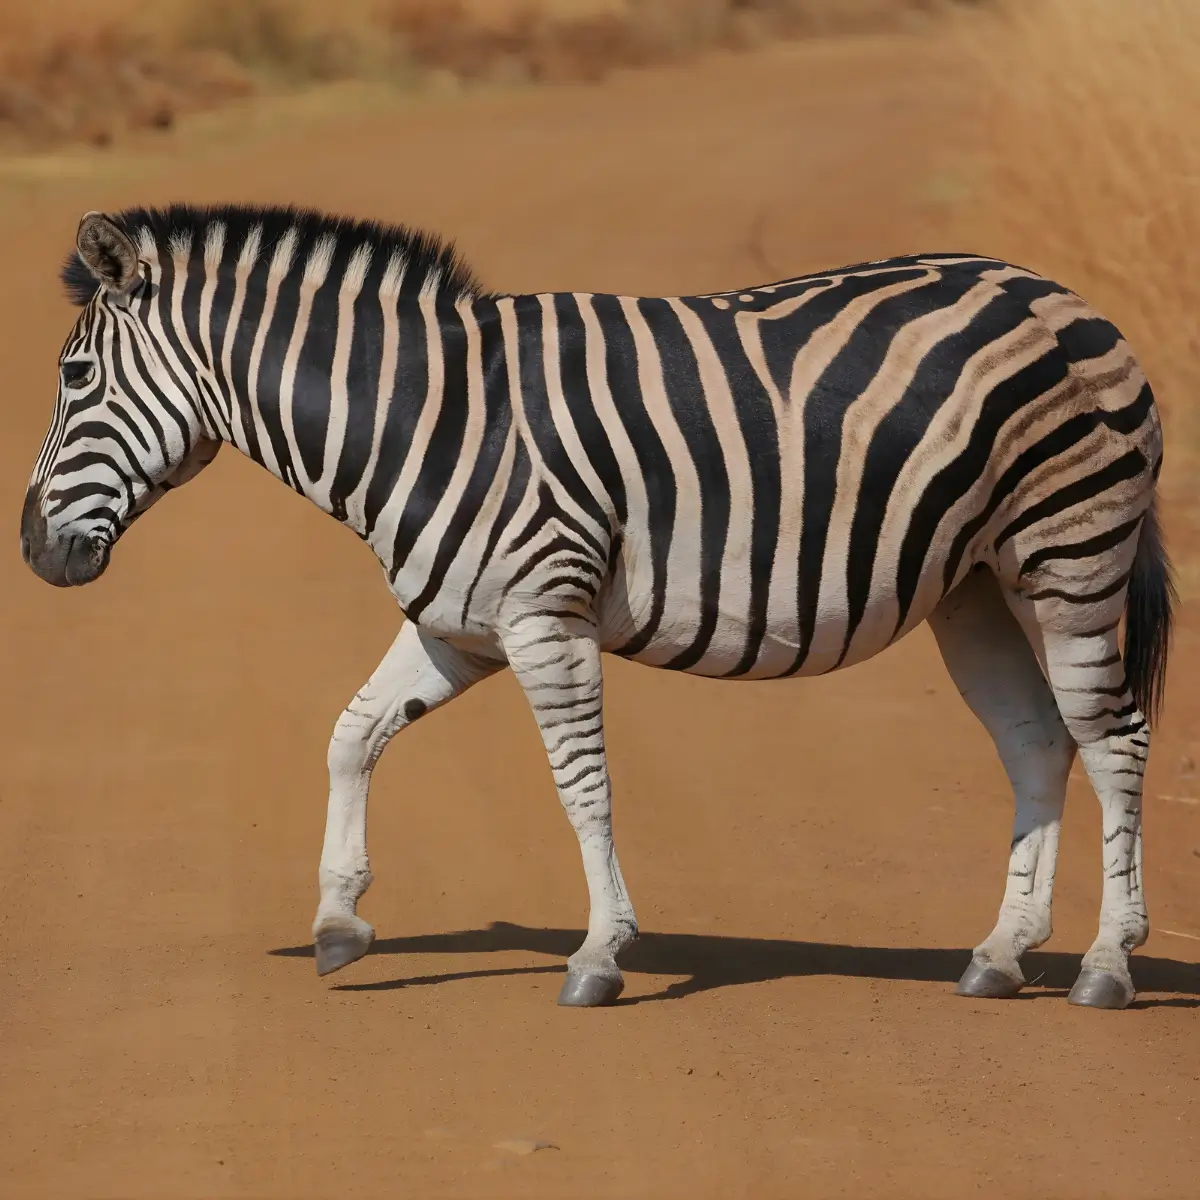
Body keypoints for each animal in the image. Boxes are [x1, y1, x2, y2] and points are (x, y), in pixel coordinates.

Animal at [21, 203, 1173, 1011]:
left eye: (73, 376)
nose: (33, 551)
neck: (424, 416)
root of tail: (1063, 296)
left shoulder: (545, 617)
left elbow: (583, 788)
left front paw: (600, 954)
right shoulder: (458, 624)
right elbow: (351, 735)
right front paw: (340, 922)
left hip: (1069, 552)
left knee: (1113, 740)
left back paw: (1107, 965)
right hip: (976, 585)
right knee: (1038, 742)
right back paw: (1001, 954)